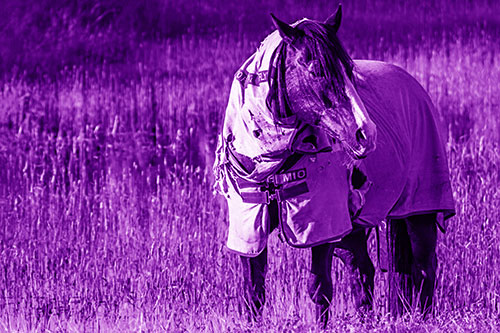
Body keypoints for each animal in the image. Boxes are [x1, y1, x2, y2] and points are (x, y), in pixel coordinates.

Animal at [213, 5, 456, 326]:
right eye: (316, 70)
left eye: (349, 70)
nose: (366, 133)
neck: (273, 160)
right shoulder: (250, 226)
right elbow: (253, 291)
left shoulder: (322, 226)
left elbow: (319, 288)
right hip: (354, 229)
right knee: (362, 270)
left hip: (419, 212)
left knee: (425, 267)